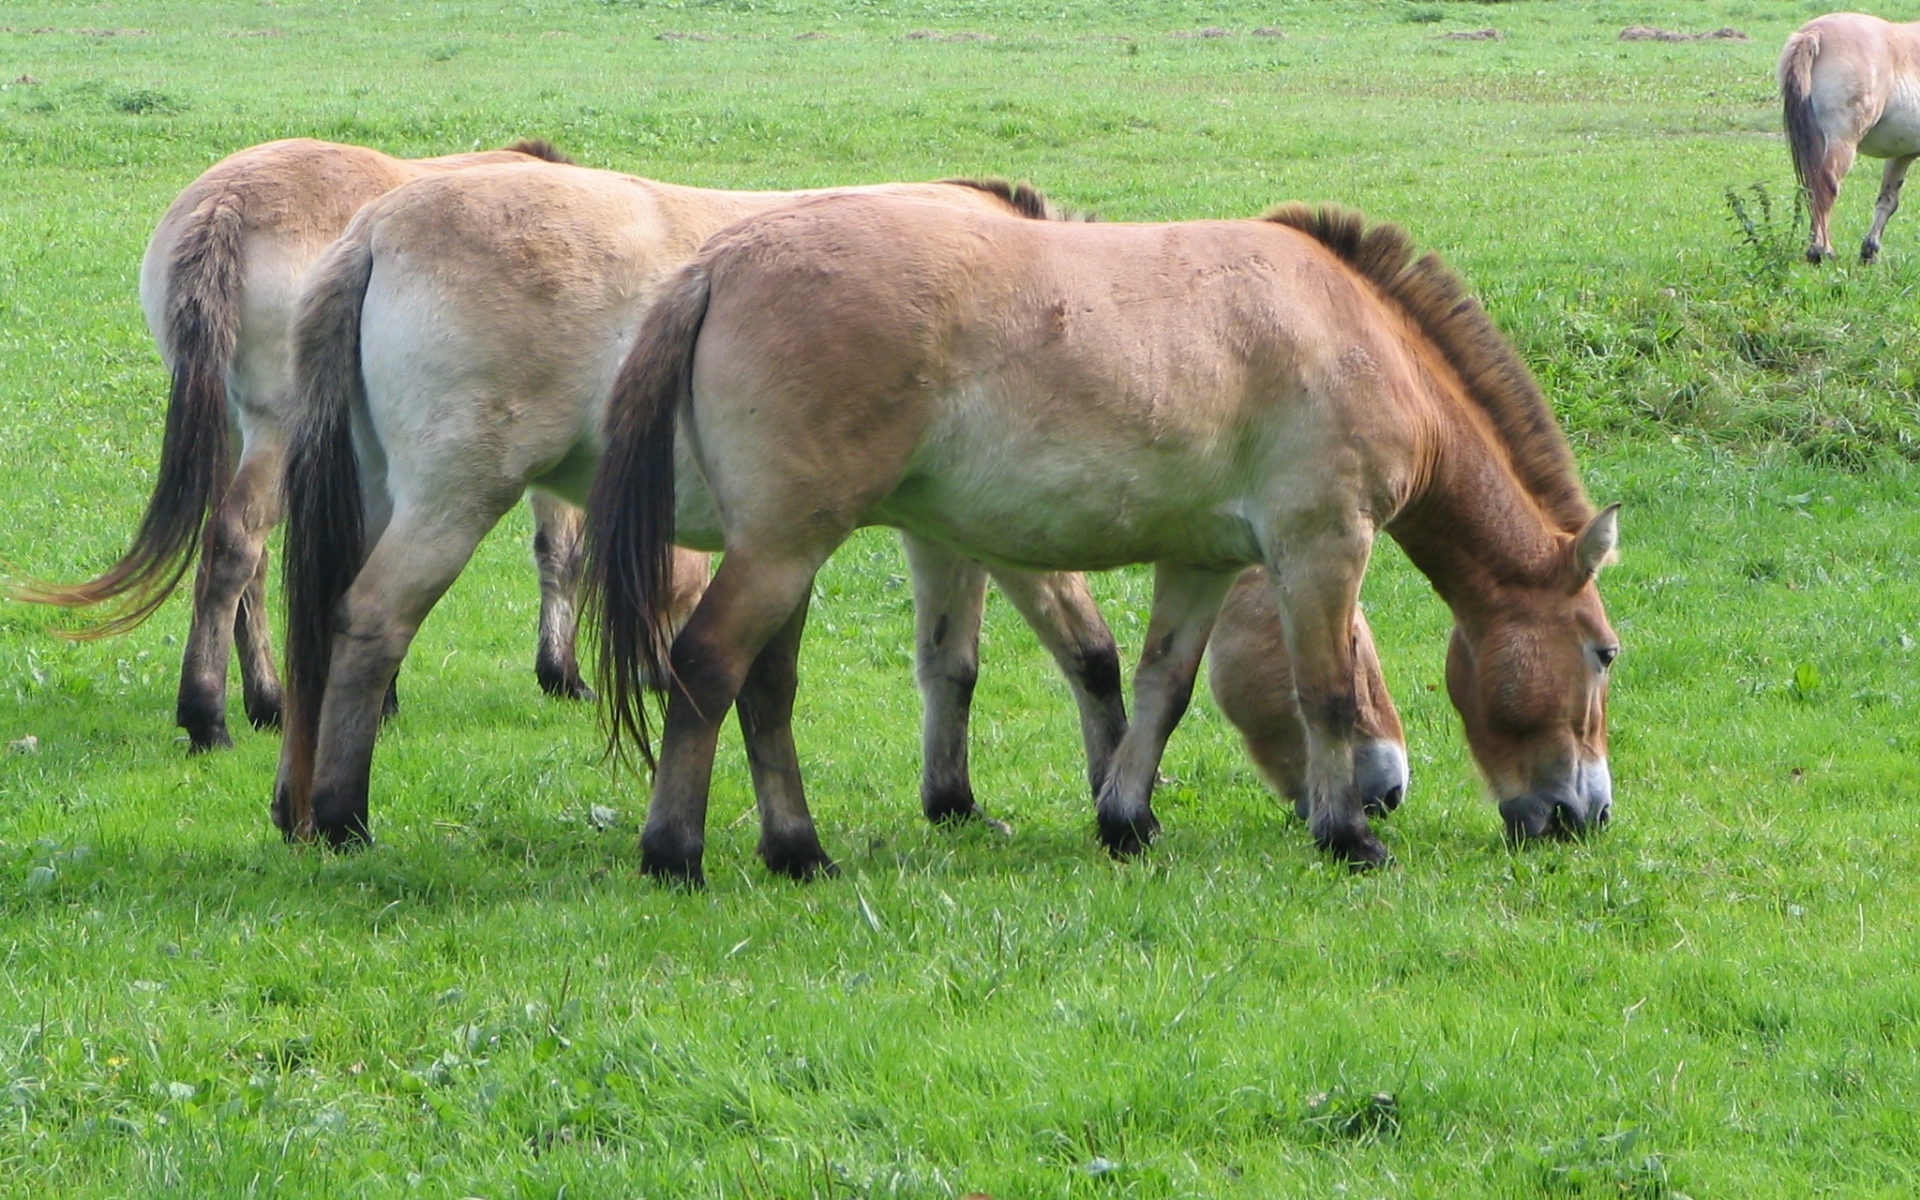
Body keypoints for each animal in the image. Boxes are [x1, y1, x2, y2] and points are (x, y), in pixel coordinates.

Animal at [10, 137, 586, 752]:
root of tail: (227, 203)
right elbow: (558, 548)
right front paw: (561, 673)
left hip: (234, 431)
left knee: (247, 562)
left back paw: (267, 702)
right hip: (280, 433)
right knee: (236, 544)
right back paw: (207, 717)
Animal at [268, 161, 1409, 852]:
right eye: (1357, 645)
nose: (1388, 785)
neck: (1059, 291)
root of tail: (378, 226)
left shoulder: (938, 531)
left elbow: (955, 664)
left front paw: (964, 800)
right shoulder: (1010, 533)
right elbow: (1088, 653)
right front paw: (1113, 790)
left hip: (379, 492)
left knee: (321, 626)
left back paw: (297, 808)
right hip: (454, 497)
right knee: (371, 621)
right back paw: (343, 816)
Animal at [586, 193, 1620, 883]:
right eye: (1604, 653)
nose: (1589, 813)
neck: (1352, 334)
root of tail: (722, 264)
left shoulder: (1202, 563)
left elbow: (1163, 688)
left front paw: (1127, 821)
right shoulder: (1322, 544)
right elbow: (1323, 693)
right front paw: (1348, 838)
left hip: (787, 552)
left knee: (765, 689)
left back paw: (797, 851)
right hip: (782, 548)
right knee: (707, 666)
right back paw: (674, 853)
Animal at [1781, 13, 1920, 262]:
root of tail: (1816, 33)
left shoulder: (1902, 154)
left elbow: (1888, 199)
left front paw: (1869, 250)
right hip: (1842, 141)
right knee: (1826, 185)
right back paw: (1822, 249)